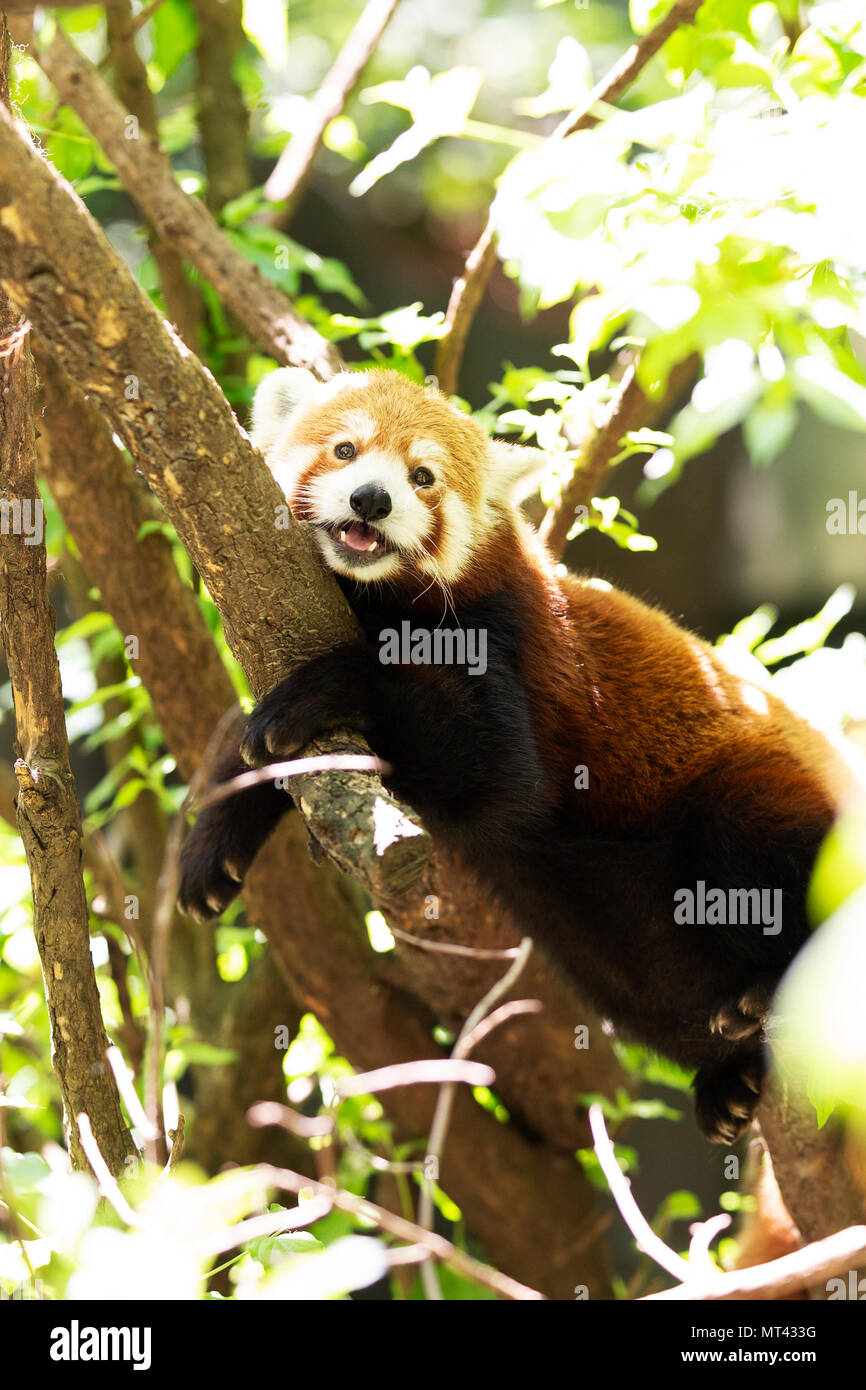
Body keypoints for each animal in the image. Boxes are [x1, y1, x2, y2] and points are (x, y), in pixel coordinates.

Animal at [178, 365, 851, 1142]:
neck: (374, 601)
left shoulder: (500, 640)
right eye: (345, 450)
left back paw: (770, 988)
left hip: (754, 796)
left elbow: (493, 779)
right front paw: (215, 840)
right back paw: (732, 1079)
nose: (371, 498)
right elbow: (256, 749)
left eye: (422, 476)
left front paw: (324, 689)